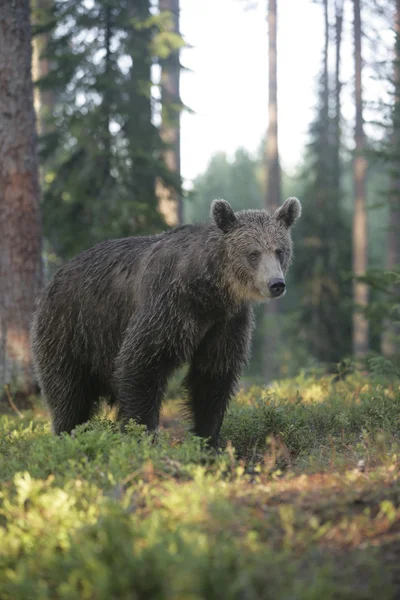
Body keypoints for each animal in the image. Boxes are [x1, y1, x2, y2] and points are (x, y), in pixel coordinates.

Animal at [30, 197, 300, 446]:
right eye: (253, 253)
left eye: (279, 250)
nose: (276, 284)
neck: (209, 291)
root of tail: (55, 277)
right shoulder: (168, 307)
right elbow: (140, 364)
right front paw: (143, 435)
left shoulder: (225, 322)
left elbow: (212, 376)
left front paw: (208, 439)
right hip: (71, 329)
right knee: (68, 393)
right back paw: (68, 435)